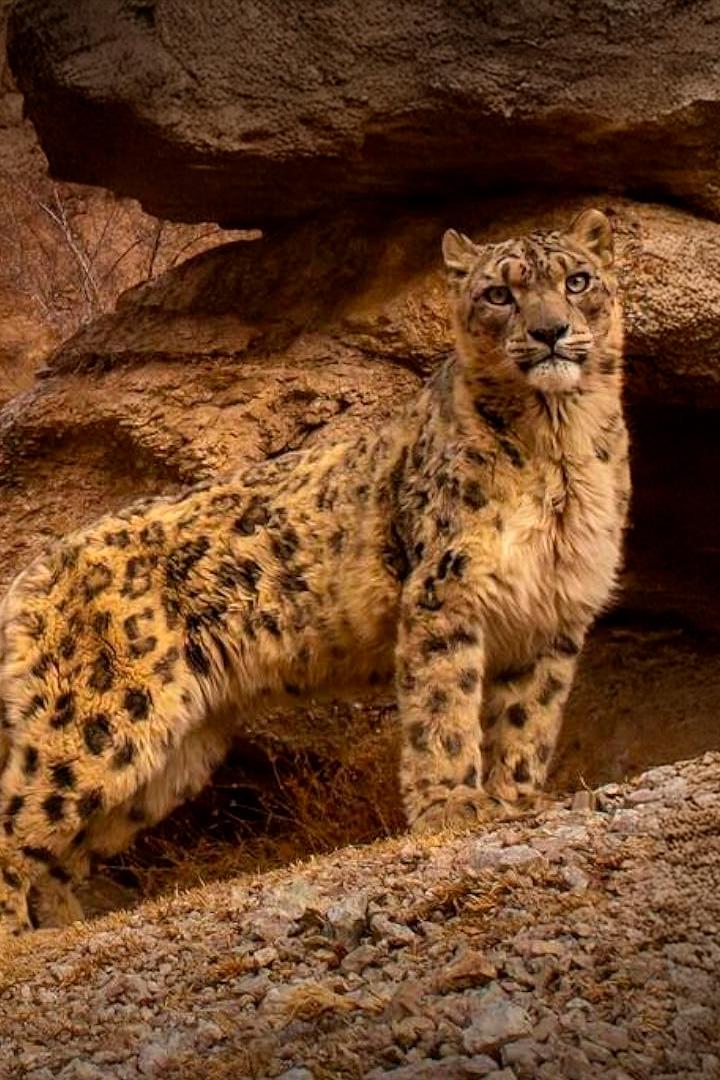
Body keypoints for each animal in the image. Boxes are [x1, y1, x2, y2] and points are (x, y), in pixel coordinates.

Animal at [0, 208, 629, 935]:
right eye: (499, 293)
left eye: (577, 280)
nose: (550, 331)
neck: (560, 445)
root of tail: (32, 573)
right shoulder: (446, 593)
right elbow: (443, 710)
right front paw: (452, 808)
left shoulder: (554, 611)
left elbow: (529, 721)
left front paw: (514, 802)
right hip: (100, 713)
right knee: (18, 820)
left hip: (169, 755)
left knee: (61, 845)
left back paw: (62, 922)